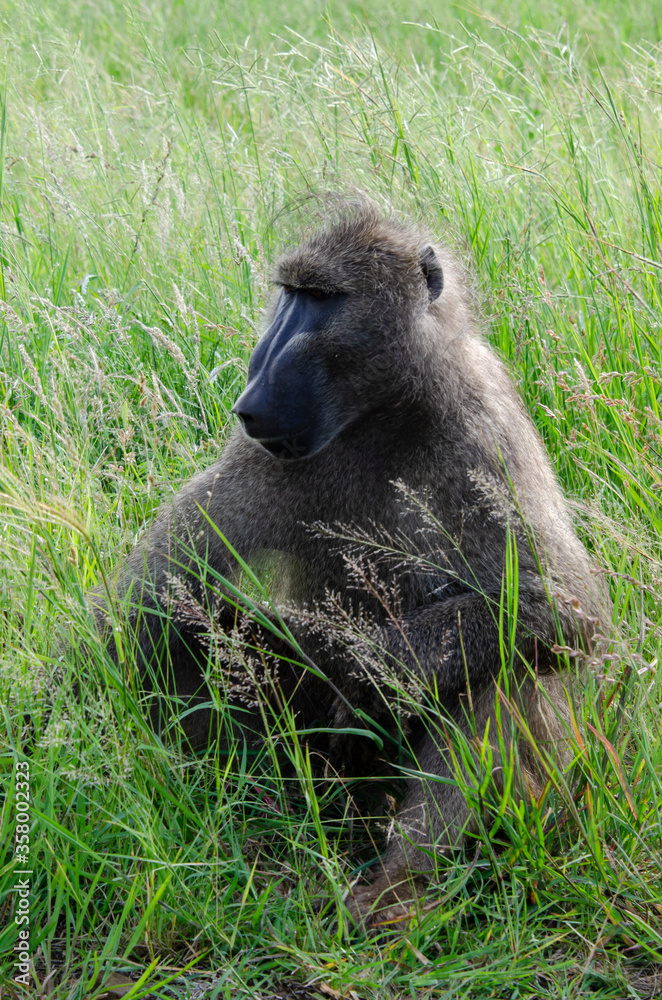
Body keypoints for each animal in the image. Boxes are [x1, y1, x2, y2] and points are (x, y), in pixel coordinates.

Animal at [91, 202, 609, 924]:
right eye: (289, 294)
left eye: (322, 299)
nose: (253, 388)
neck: (385, 410)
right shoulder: (259, 457)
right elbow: (146, 598)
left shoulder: (484, 426)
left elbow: (561, 604)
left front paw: (357, 665)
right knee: (189, 624)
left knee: (512, 665)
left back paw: (401, 883)